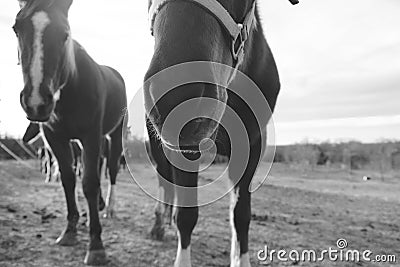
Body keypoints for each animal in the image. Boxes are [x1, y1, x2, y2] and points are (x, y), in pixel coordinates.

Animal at [14, 0, 126, 266]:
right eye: (16, 29)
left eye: (65, 34)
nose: (36, 102)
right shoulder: (56, 138)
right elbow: (68, 179)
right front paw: (70, 230)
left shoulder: (91, 134)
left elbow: (89, 183)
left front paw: (96, 245)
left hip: (113, 135)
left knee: (111, 169)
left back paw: (109, 207)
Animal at [145, 0, 296, 267]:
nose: (176, 94)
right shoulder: (184, 149)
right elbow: (186, 215)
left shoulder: (252, 144)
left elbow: (241, 215)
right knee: (165, 183)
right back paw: (158, 224)